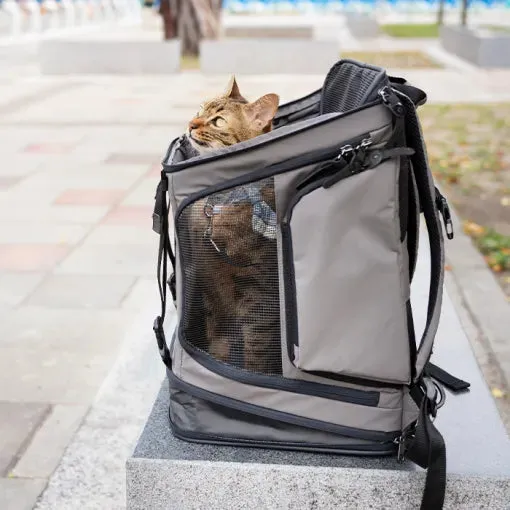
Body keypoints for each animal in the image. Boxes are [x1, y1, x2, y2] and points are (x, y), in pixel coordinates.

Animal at [182, 78, 282, 374]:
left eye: (217, 121)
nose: (191, 124)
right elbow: (219, 343)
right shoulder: (210, 288)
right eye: (200, 109)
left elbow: (256, 352)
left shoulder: (259, 294)